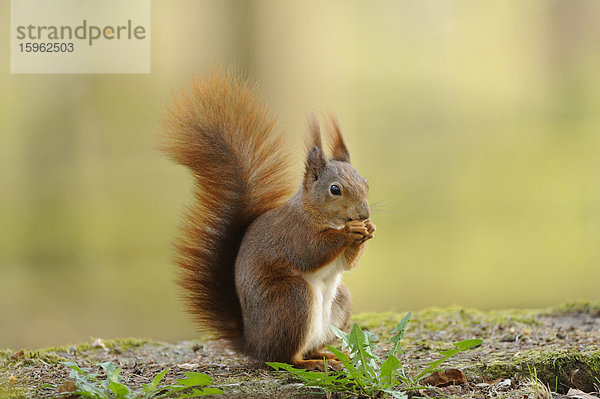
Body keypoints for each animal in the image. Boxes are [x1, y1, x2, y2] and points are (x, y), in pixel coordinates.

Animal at [161, 69, 376, 372]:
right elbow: (310, 252)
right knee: (283, 357)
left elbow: (347, 264)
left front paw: (368, 229)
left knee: (309, 346)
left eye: (365, 183)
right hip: (293, 299)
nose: (364, 214)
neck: (313, 212)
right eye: (335, 189)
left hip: (339, 302)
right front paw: (350, 231)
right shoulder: (294, 233)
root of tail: (253, 344)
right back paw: (308, 363)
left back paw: (328, 355)